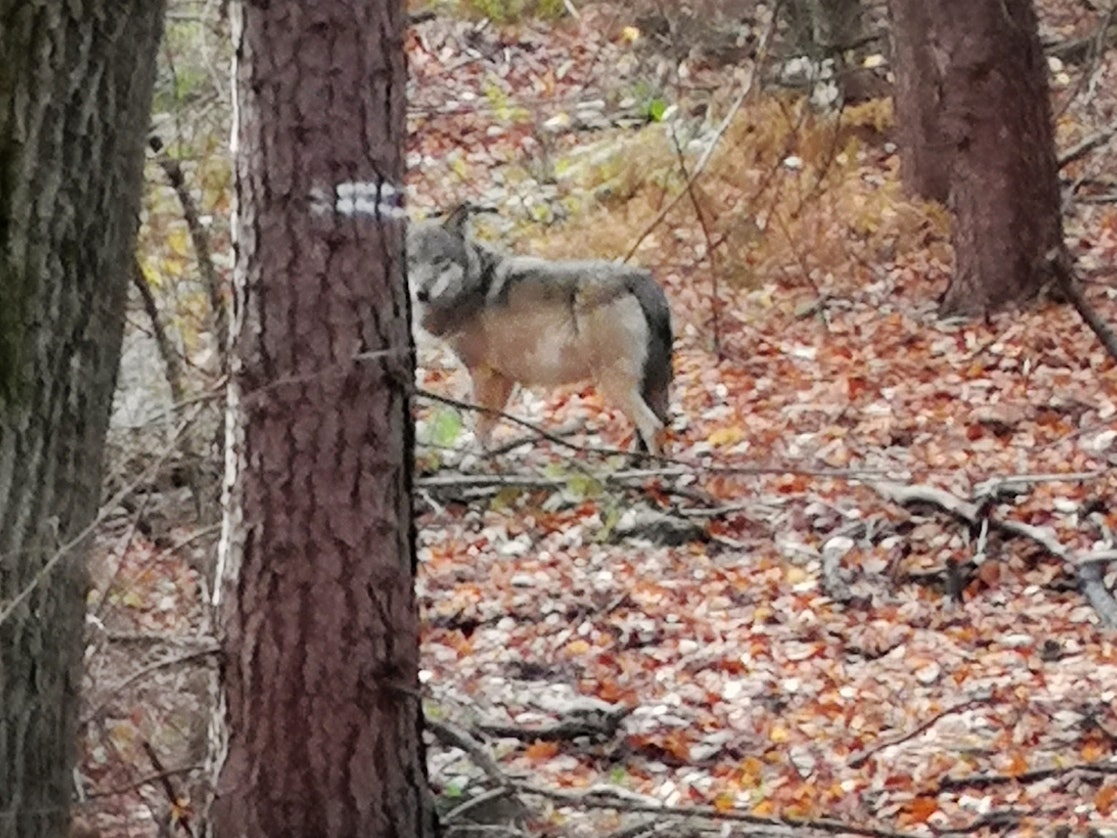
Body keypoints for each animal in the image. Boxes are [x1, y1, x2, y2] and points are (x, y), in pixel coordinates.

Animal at [406, 205, 673, 455]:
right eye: (412, 261)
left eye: (439, 260)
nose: (421, 293)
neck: (471, 288)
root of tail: (641, 278)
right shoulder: (504, 378)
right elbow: (491, 423)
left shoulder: (483, 374)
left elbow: (480, 424)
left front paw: (475, 459)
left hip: (612, 383)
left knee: (652, 426)